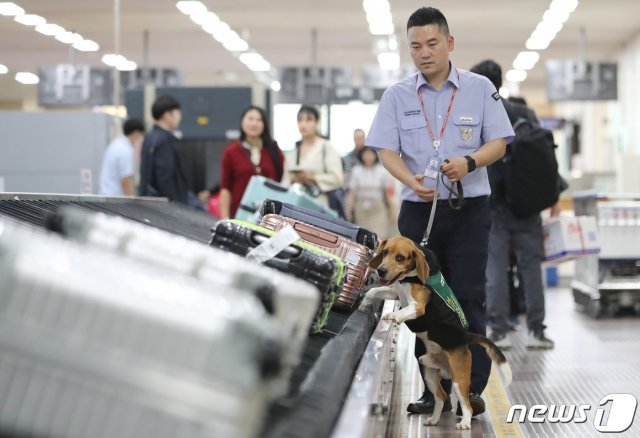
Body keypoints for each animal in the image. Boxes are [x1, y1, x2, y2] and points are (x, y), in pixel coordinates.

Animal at [360, 236, 510, 432]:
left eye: (400, 258)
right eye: (385, 252)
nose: (381, 271)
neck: (407, 278)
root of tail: (465, 337)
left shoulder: (417, 307)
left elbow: (403, 311)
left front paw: (393, 315)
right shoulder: (395, 293)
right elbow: (373, 291)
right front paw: (364, 304)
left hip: (459, 380)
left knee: (467, 405)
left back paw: (465, 423)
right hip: (428, 369)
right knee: (440, 397)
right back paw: (434, 419)